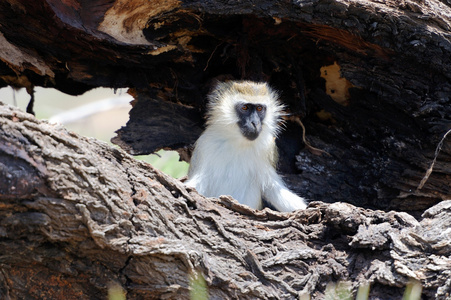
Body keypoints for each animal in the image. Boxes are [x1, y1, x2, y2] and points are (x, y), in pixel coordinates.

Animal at [186, 79, 308, 211]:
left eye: (259, 108)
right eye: (245, 108)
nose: (254, 123)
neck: (238, 142)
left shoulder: (267, 148)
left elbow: (273, 189)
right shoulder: (206, 144)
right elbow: (197, 183)